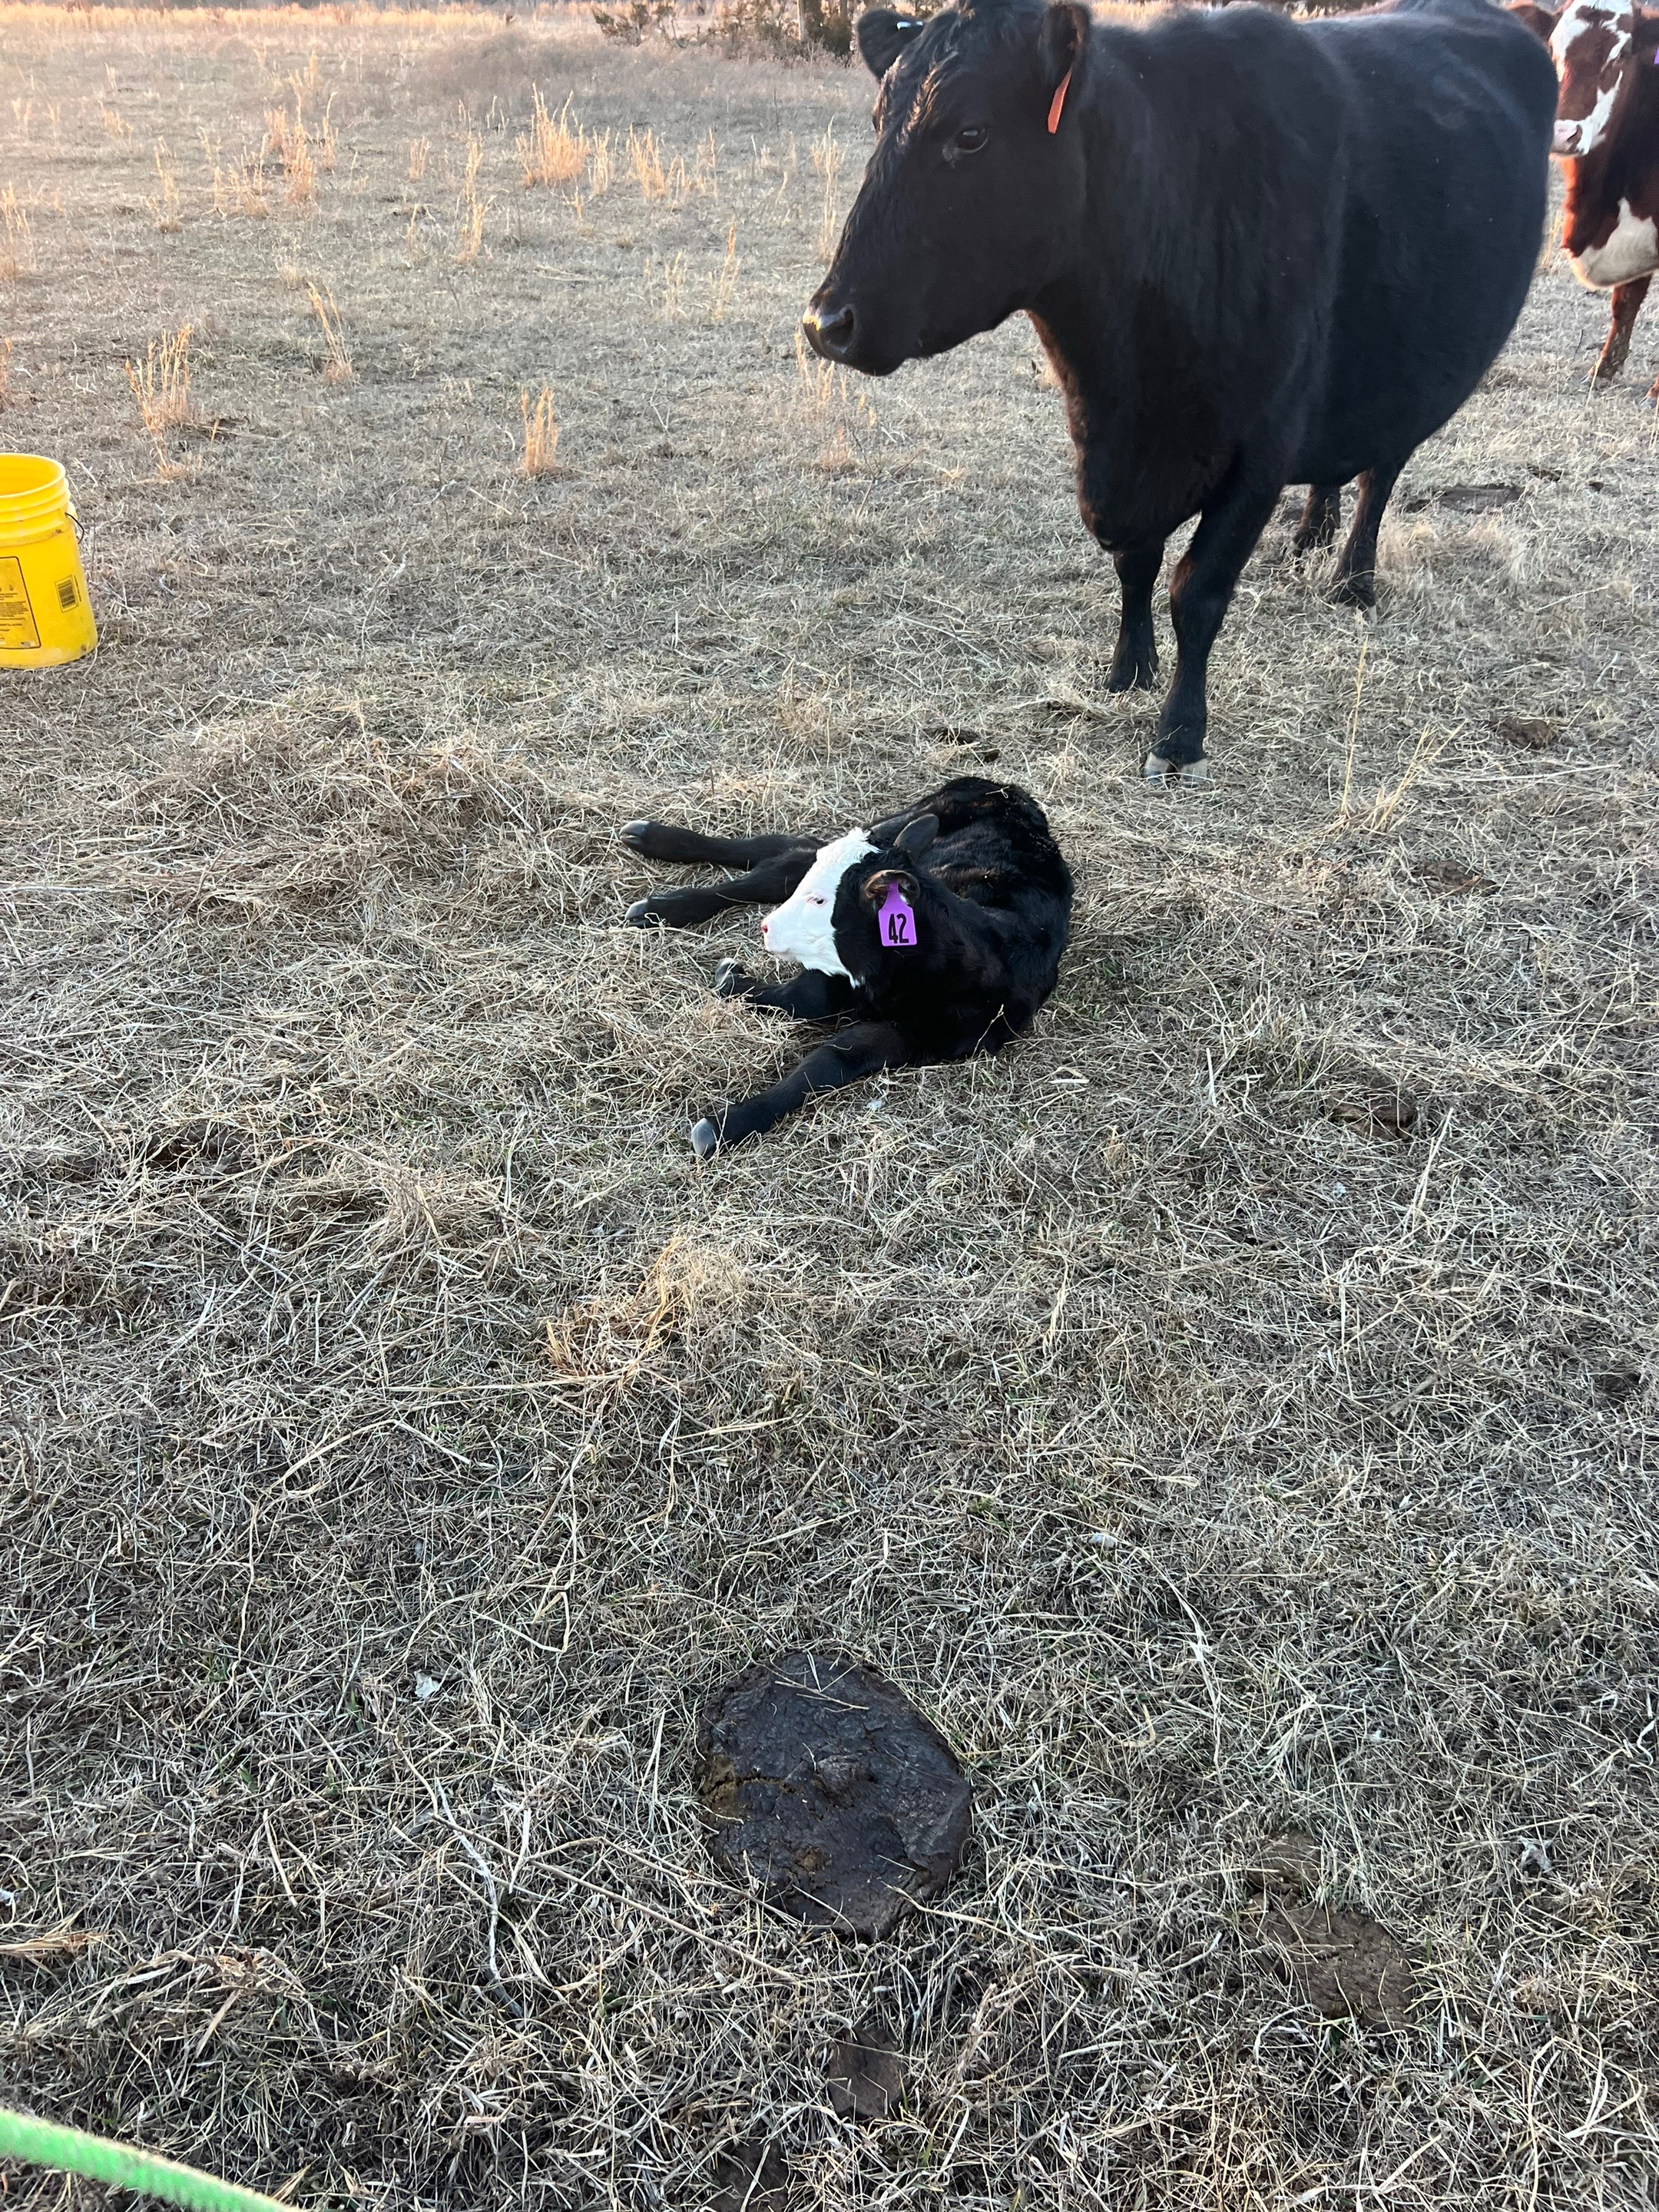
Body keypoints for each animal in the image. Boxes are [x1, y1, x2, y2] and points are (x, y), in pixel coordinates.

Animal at [621, 777, 1073, 1156]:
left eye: (822, 901)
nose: (766, 929)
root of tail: (1009, 790)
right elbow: (808, 996)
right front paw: (730, 977)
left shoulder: (915, 1036)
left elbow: (832, 1056)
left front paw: (725, 1125)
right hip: (896, 823)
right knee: (780, 863)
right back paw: (654, 869)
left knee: (783, 858)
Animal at [803, 0, 1557, 783]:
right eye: (877, 122)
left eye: (971, 134)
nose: (828, 322)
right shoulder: (1110, 448)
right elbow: (1134, 564)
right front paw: (1127, 671)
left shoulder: (1260, 452)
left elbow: (1196, 590)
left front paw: (1179, 731)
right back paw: (1309, 538)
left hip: (1412, 377)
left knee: (1382, 472)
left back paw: (1352, 579)